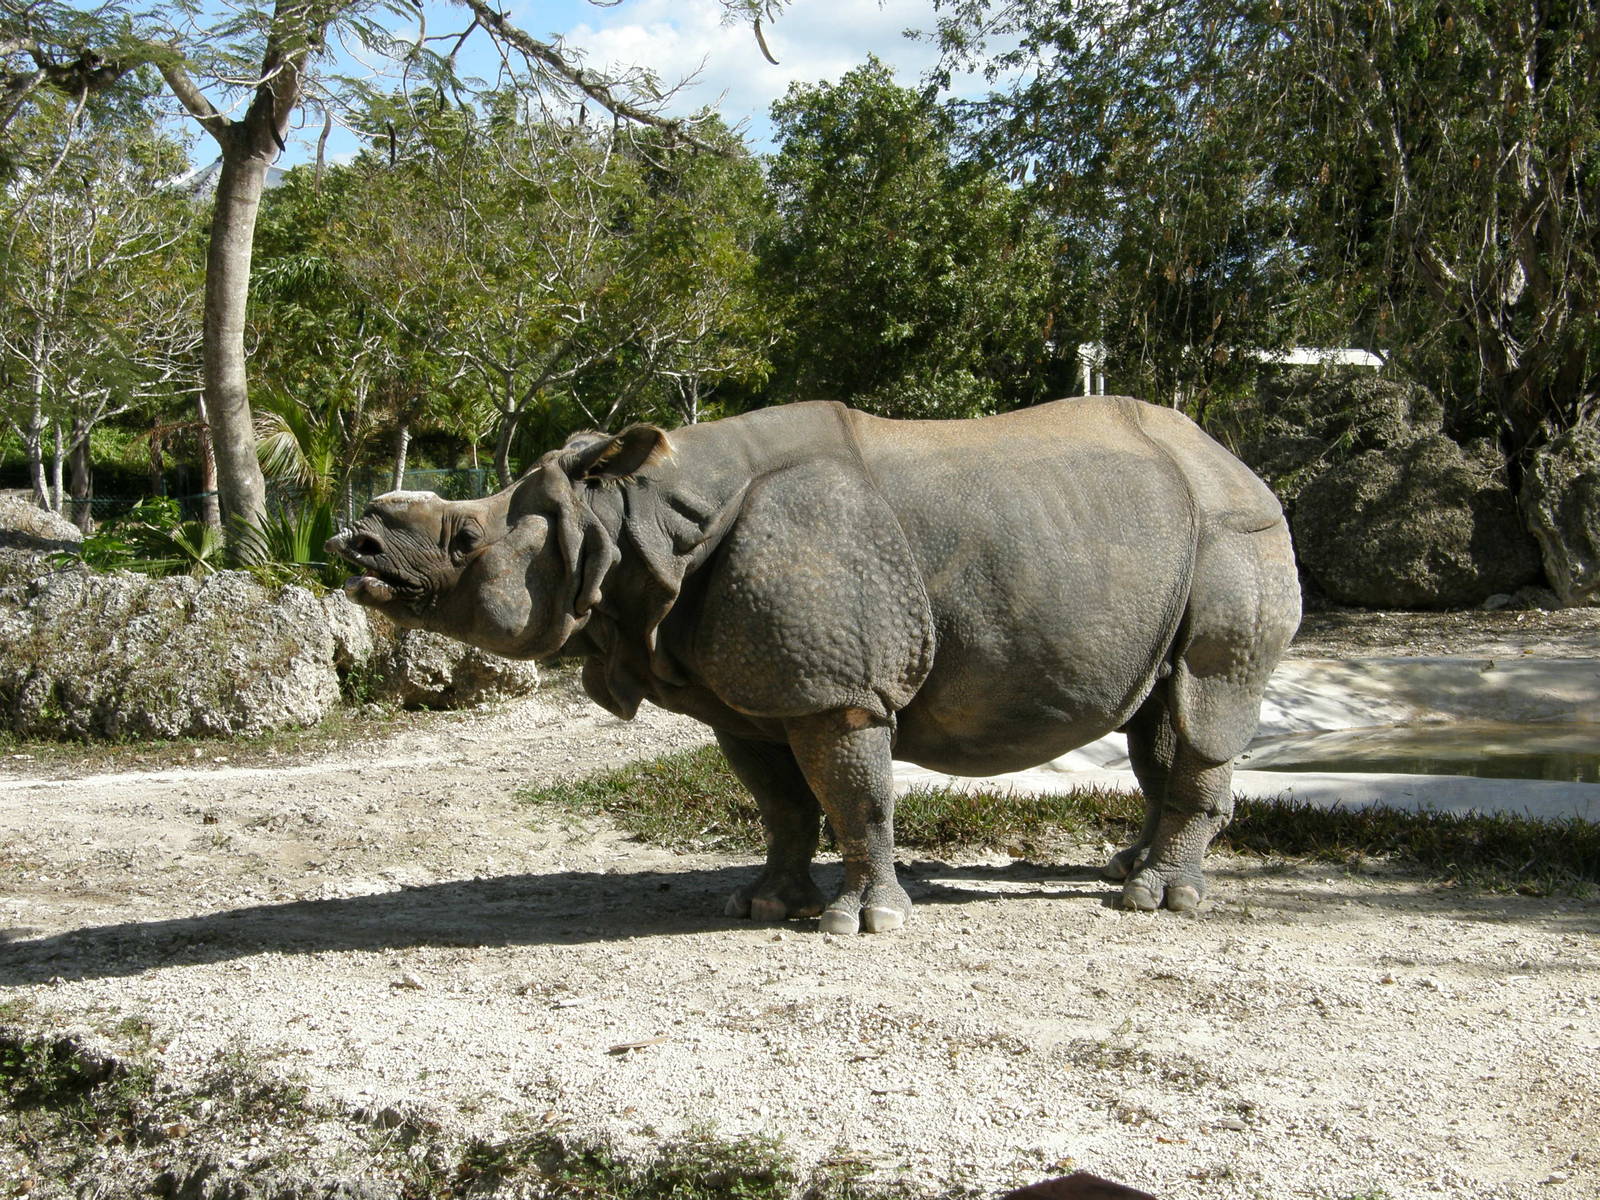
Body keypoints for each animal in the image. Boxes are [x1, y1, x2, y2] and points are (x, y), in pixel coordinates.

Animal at [327, 397, 1300, 933]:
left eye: (465, 539)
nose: (357, 542)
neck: (636, 522)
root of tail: (1233, 457)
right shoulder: (741, 692)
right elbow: (782, 803)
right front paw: (763, 906)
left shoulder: (837, 689)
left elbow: (853, 793)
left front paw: (860, 923)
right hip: (1145, 544)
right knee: (1157, 712)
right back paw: (1126, 868)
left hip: (1235, 531)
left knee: (1208, 697)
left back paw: (1155, 901)